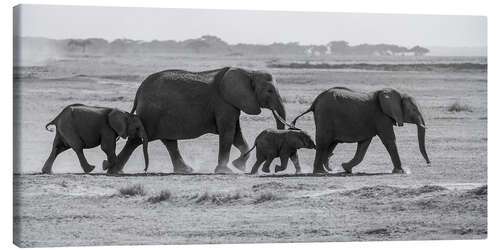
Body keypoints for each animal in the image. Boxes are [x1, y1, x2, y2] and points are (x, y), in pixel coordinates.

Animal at [103, 67, 288, 175]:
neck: (249, 72)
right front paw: (226, 171)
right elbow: (228, 132)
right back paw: (114, 171)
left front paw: (239, 166)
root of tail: (139, 90)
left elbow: (236, 135)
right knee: (136, 140)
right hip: (151, 114)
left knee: (169, 142)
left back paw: (185, 170)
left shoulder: (231, 104)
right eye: (270, 91)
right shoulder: (224, 102)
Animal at [292, 87, 430, 174]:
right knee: (323, 142)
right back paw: (319, 172)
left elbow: (363, 145)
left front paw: (346, 168)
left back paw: (326, 170)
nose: (429, 163)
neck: (397, 93)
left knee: (329, 145)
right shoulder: (381, 116)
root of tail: (315, 102)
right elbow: (389, 140)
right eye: (413, 110)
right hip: (325, 116)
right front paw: (401, 172)